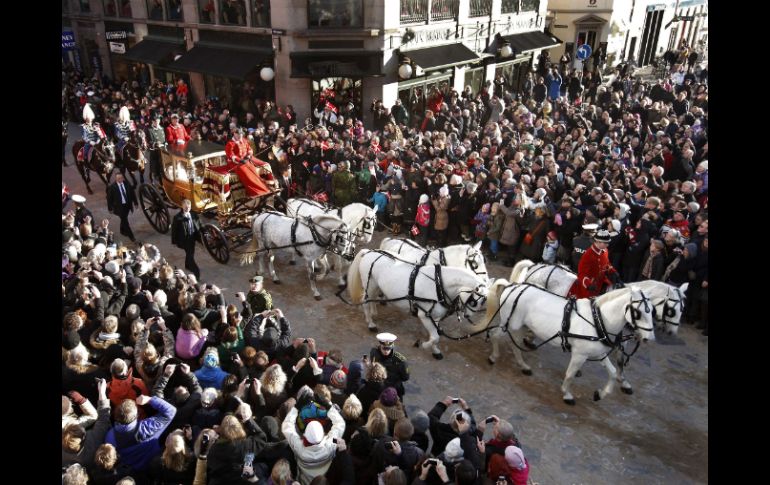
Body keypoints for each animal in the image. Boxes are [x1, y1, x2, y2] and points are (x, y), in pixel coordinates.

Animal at [346, 250, 486, 360]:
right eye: (474, 301)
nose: (468, 317)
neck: (439, 284)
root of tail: (369, 252)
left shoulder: (436, 317)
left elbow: (437, 336)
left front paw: (435, 351)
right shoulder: (424, 315)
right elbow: (435, 337)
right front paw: (423, 344)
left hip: (376, 286)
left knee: (372, 299)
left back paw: (373, 312)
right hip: (370, 285)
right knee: (365, 301)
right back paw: (371, 323)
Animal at [474, 280, 656, 404]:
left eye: (652, 311)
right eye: (638, 312)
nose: (649, 339)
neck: (598, 319)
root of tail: (512, 286)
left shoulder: (599, 353)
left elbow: (612, 372)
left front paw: (600, 394)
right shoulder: (579, 355)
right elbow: (570, 374)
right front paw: (567, 394)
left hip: (519, 326)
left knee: (515, 344)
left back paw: (523, 366)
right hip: (510, 323)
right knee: (495, 334)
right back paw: (493, 357)